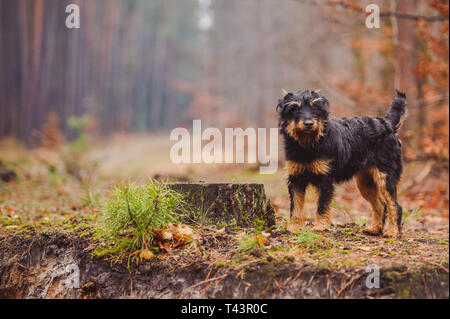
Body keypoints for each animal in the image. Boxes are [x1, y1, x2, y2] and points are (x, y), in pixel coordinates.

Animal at [278, 89, 408, 238]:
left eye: (315, 107)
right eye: (295, 108)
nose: (309, 123)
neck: (307, 144)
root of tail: (388, 123)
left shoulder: (325, 180)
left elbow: (322, 205)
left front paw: (320, 226)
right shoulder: (296, 180)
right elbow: (295, 206)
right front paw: (293, 227)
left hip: (385, 177)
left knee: (395, 206)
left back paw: (393, 231)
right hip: (366, 182)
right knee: (380, 205)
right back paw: (375, 229)